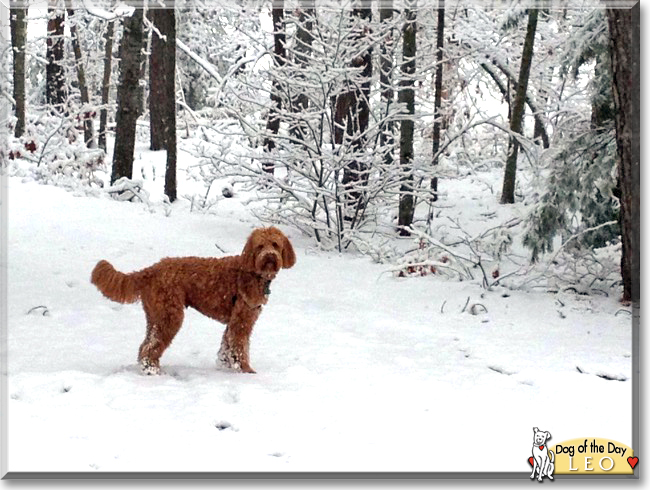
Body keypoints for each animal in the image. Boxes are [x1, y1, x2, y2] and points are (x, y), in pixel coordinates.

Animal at [90, 227, 294, 376]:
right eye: (260, 246)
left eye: (275, 244)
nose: (269, 256)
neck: (252, 271)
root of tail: (151, 269)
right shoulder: (242, 320)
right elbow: (239, 347)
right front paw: (246, 371)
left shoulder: (234, 321)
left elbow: (226, 347)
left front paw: (225, 367)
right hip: (170, 315)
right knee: (150, 347)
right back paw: (152, 370)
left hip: (155, 315)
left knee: (145, 344)